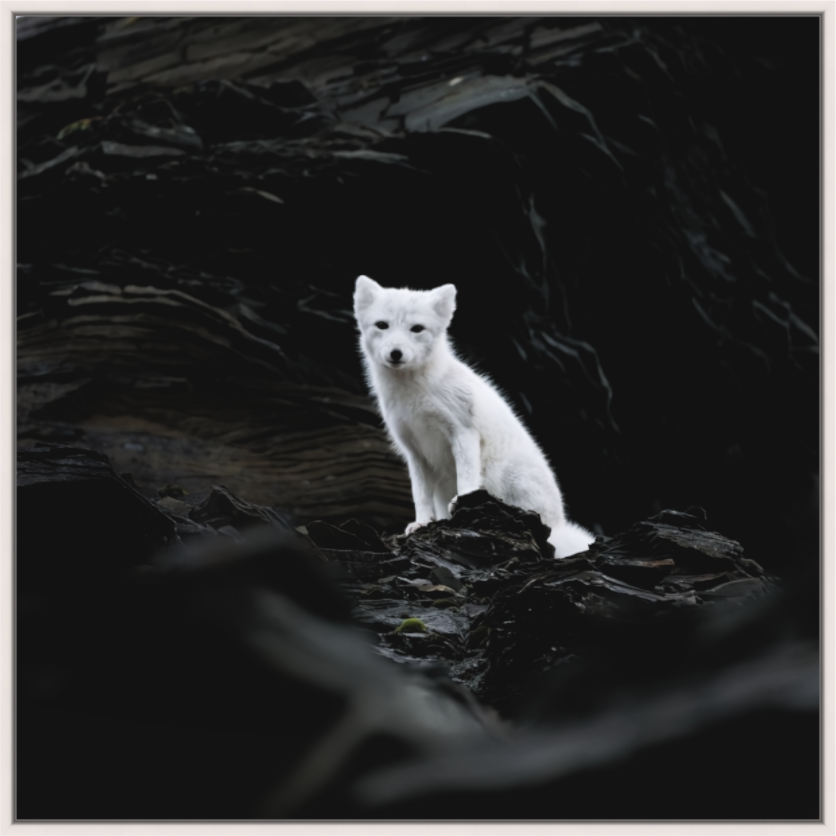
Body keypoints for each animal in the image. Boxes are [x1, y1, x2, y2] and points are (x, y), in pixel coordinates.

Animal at [353, 275, 595, 559]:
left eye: (417, 329)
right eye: (382, 325)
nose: (396, 353)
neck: (414, 394)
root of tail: (558, 524)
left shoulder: (463, 431)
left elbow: (466, 477)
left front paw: (462, 504)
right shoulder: (414, 450)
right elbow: (419, 494)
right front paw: (421, 523)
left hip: (505, 475)